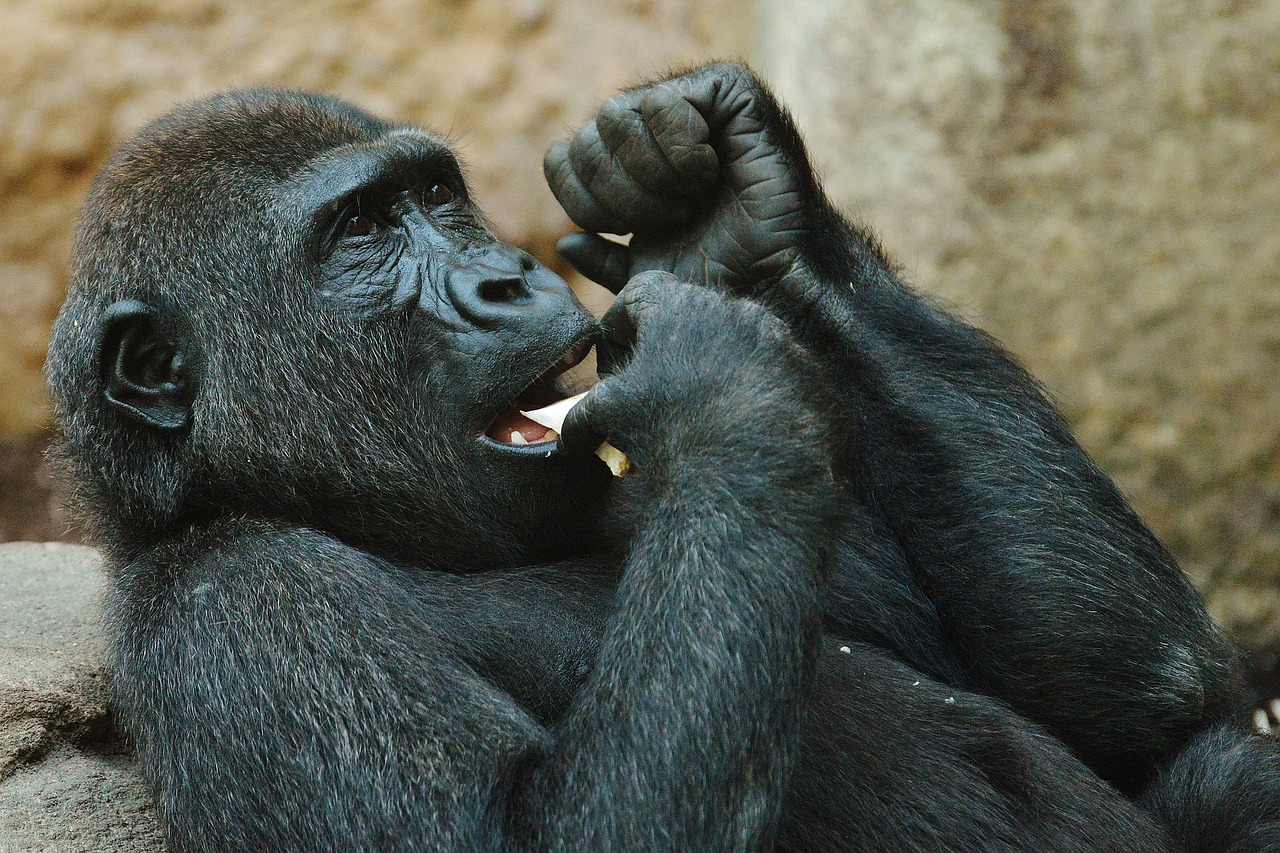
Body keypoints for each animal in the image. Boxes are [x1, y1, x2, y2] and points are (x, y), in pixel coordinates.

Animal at [45, 63, 1274, 845]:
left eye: (436, 194)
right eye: (359, 233)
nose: (507, 280)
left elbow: (1150, 708)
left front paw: (740, 207)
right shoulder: (225, 603)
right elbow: (541, 835)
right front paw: (723, 390)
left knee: (1220, 761)